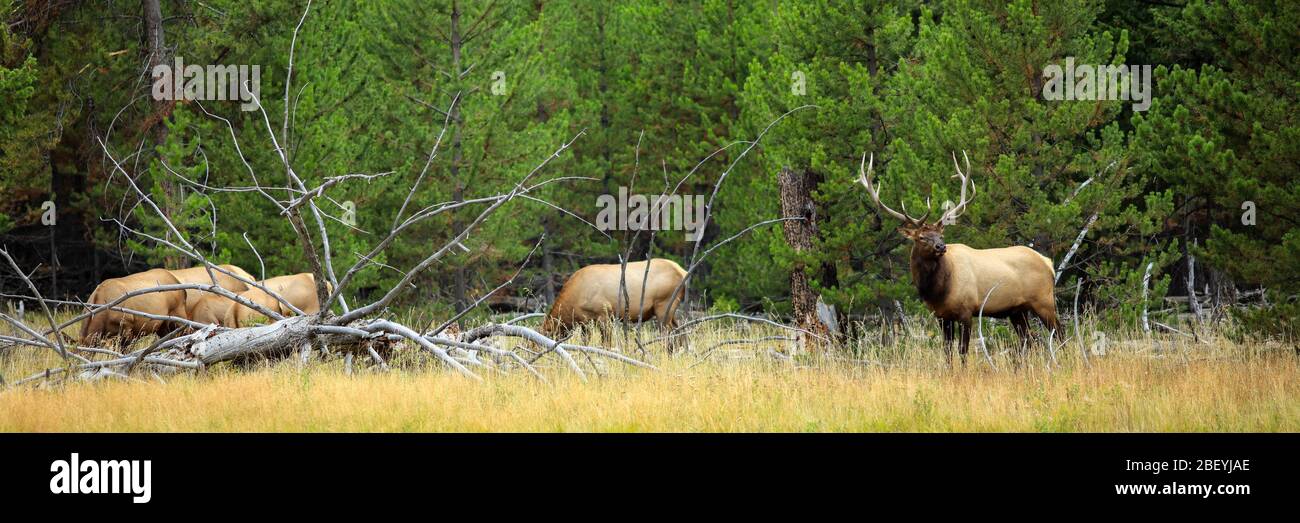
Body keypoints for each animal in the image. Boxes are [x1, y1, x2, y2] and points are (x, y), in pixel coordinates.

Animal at [857, 150, 1060, 361]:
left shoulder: (966, 311)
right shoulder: (941, 316)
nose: (941, 246)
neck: (939, 291)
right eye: (921, 237)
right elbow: (947, 350)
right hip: (1017, 310)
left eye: (941, 234)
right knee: (1029, 339)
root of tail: (1048, 262)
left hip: (1044, 300)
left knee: (1058, 333)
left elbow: (962, 350)